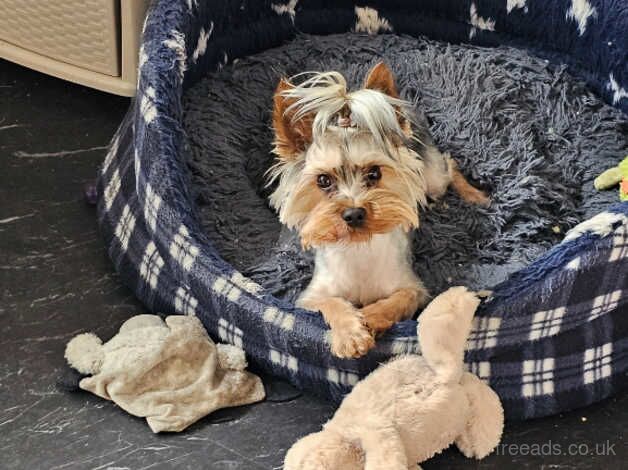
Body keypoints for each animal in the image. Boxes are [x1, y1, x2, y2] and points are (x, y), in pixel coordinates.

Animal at [268, 61, 488, 356]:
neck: (359, 247)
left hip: (431, 178)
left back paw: (476, 196)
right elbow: (331, 303)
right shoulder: (309, 298)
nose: (353, 214)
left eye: (374, 173)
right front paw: (351, 334)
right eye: (323, 180)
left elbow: (398, 300)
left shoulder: (413, 289)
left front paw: (370, 317)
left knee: (448, 165)